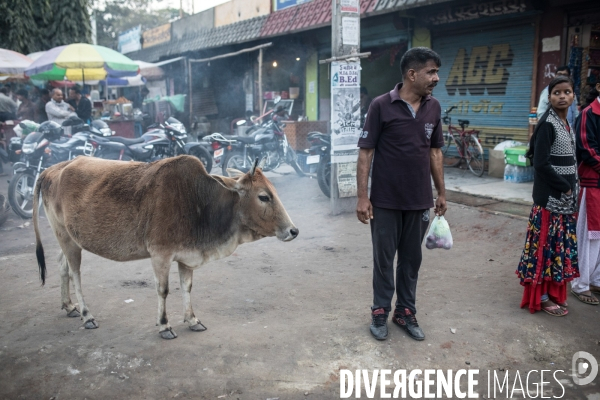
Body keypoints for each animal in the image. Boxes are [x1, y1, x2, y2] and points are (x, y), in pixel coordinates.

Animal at [31, 155, 298, 340]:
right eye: (263, 196)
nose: (293, 231)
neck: (198, 201)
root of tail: (52, 169)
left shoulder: (186, 256)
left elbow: (187, 287)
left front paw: (192, 320)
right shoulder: (160, 254)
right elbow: (163, 290)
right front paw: (164, 325)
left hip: (68, 236)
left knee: (62, 266)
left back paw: (69, 306)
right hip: (66, 237)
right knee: (75, 274)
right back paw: (87, 315)